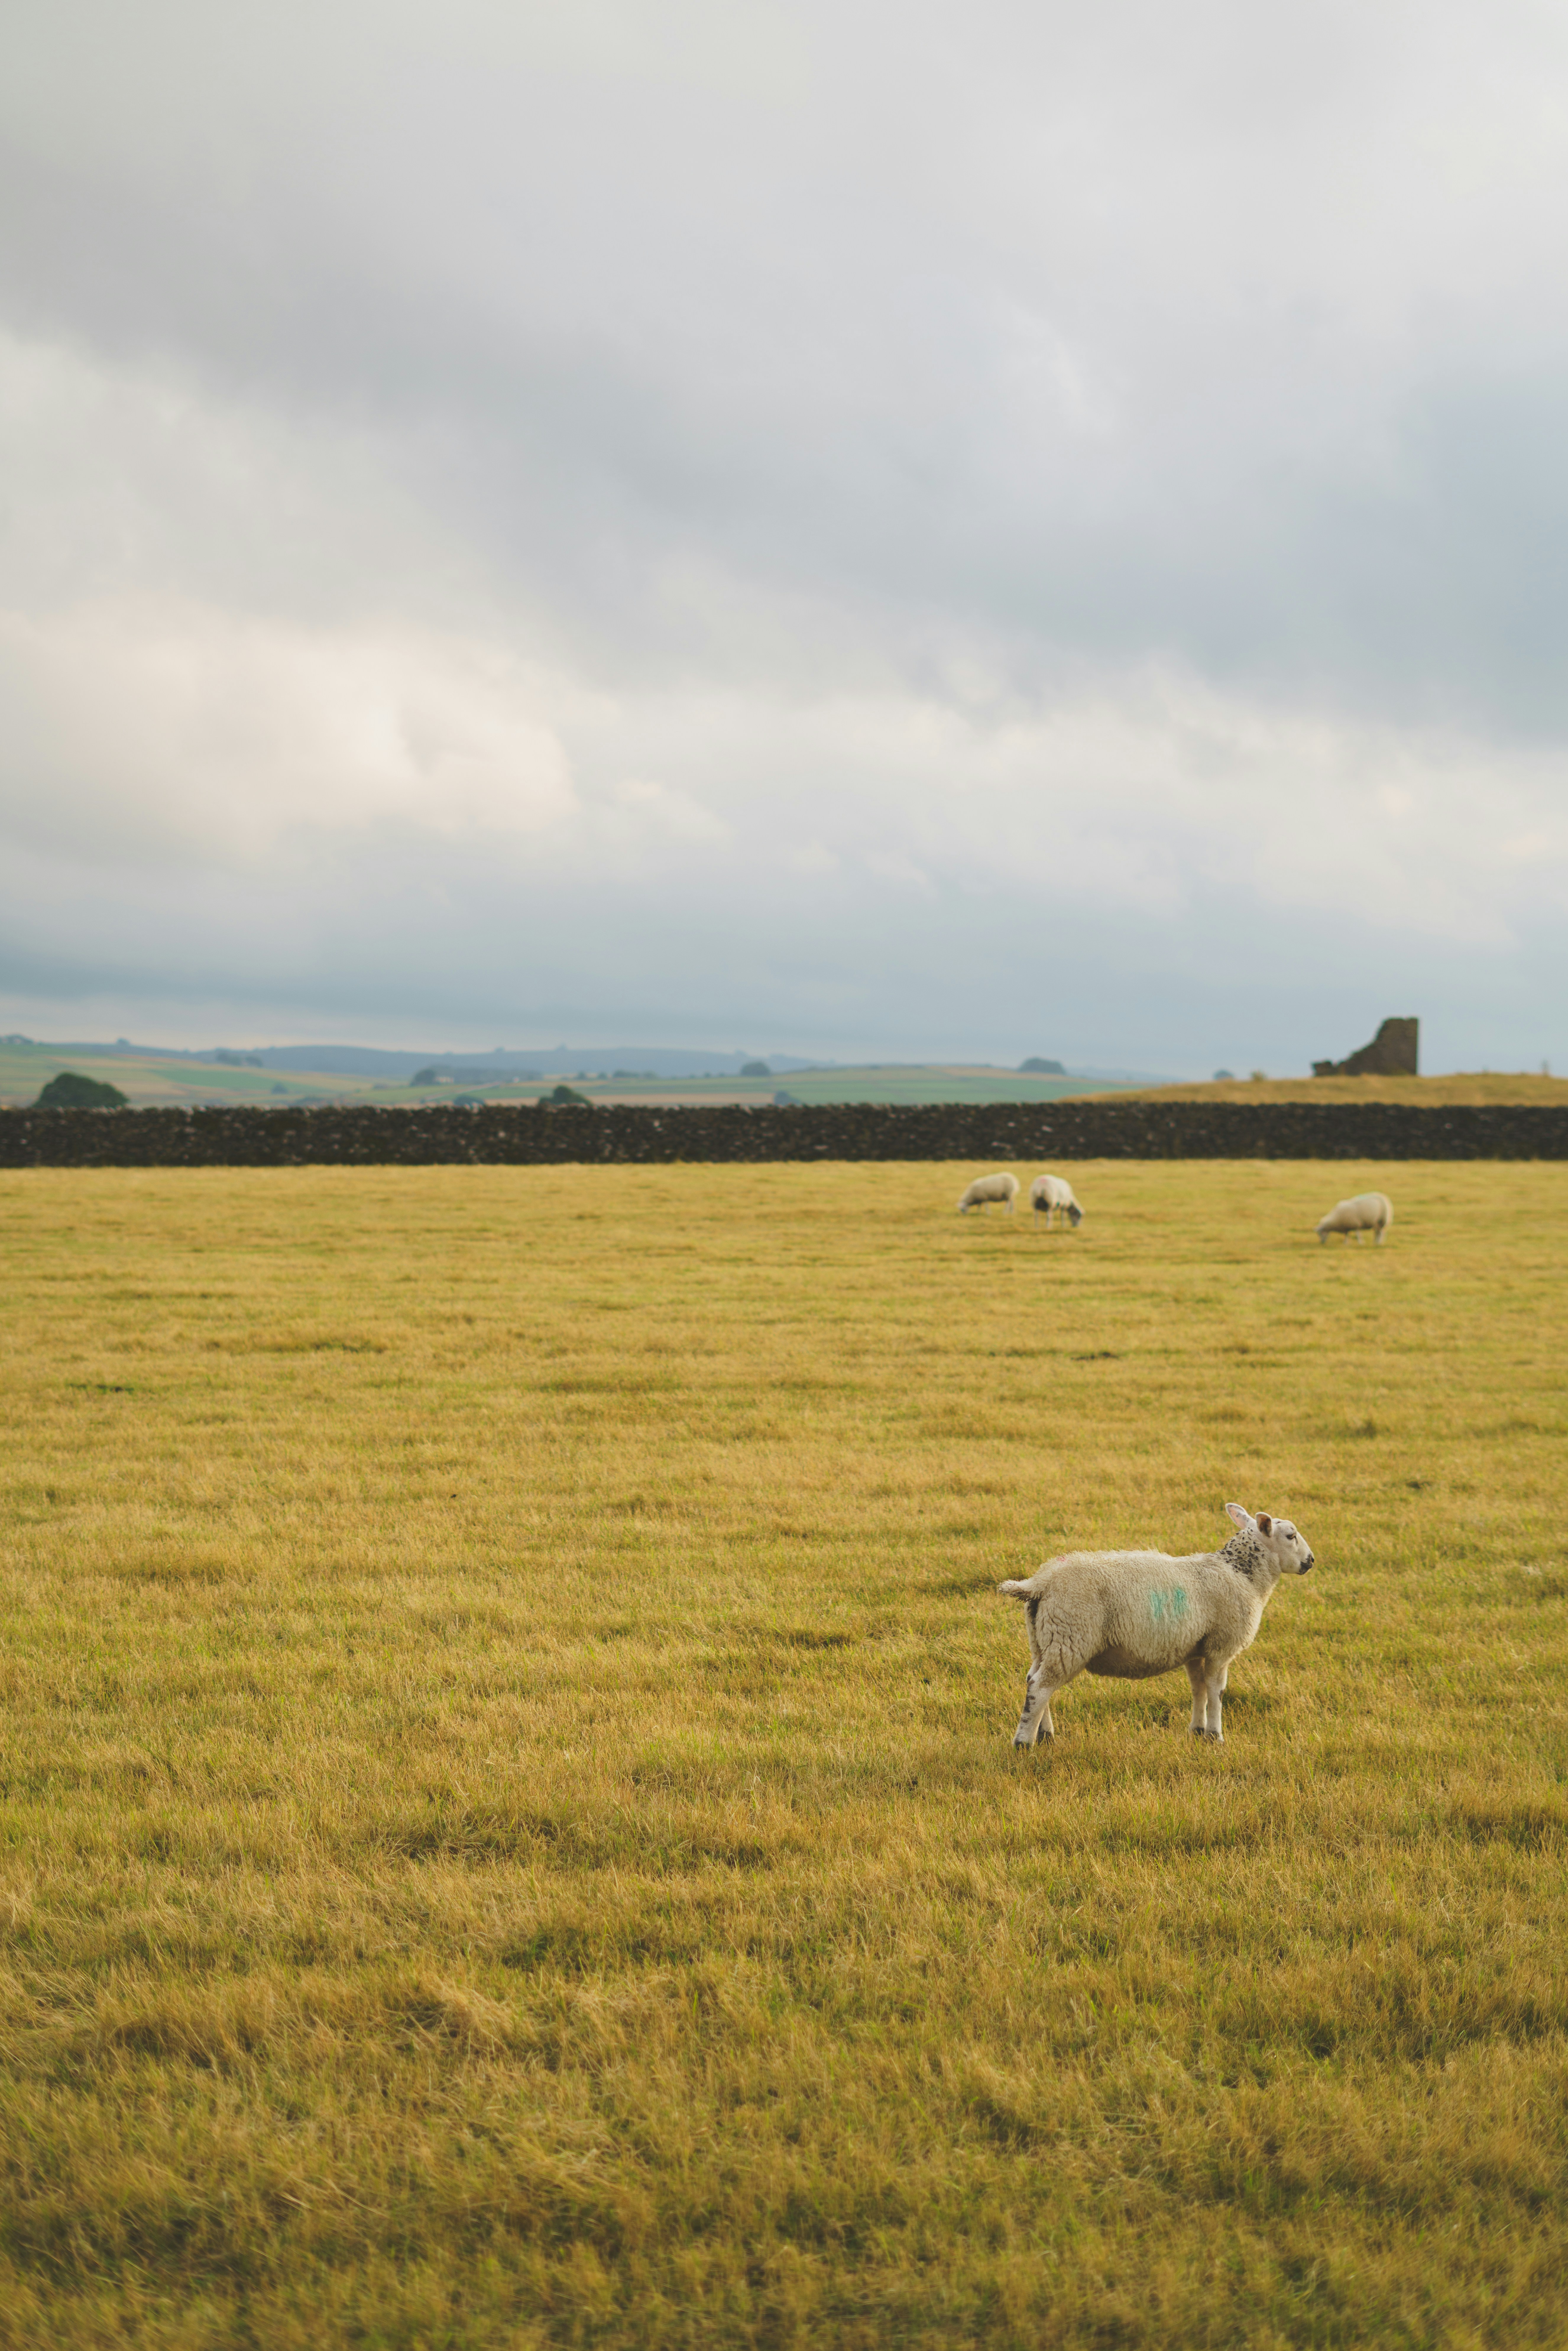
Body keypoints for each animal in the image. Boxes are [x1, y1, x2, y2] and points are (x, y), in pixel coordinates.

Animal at [957, 1172, 1019, 1214]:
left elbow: (986, 1207)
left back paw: (1005, 1213)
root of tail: (1015, 1180)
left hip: (1009, 1194)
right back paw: (1012, 1213)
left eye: (962, 1209)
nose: (964, 1215)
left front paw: (989, 1213)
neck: (972, 1196)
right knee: (1012, 1203)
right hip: (1010, 1196)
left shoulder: (985, 1198)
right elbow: (979, 1206)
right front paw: (978, 1212)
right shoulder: (981, 1199)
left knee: (1008, 1205)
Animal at [997, 1502, 1315, 1746]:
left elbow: (1198, 1688)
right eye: (1291, 1536)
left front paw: (1198, 1731)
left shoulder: (1195, 1648)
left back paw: (1045, 1735)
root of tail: (1040, 1583)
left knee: (1034, 1680)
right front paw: (1216, 1736)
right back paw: (1024, 1743)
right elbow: (1216, 1691)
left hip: (1043, 1638)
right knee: (1041, 1687)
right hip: (1071, 1635)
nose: (1311, 1562)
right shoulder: (1220, 1646)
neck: (1241, 1574)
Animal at [1029, 1172, 1083, 1229]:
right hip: (1050, 1203)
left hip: (1035, 1202)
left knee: (1036, 1215)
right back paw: (1049, 1227)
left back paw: (1037, 1227)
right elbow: (1063, 1216)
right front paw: (1064, 1226)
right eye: (1078, 1215)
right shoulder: (1064, 1206)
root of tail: (1042, 1185)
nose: (1077, 1226)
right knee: (1049, 1216)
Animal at [1316, 1191, 1393, 1246]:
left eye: (1321, 1233)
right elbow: (1346, 1235)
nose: (1322, 1243)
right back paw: (1375, 1242)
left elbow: (1358, 1235)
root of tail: (1383, 1197)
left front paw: (1361, 1243)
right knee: (1377, 1232)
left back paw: (1379, 1243)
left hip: (1382, 1220)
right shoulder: (1346, 1227)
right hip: (1376, 1223)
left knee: (1381, 1233)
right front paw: (1346, 1243)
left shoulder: (1356, 1225)